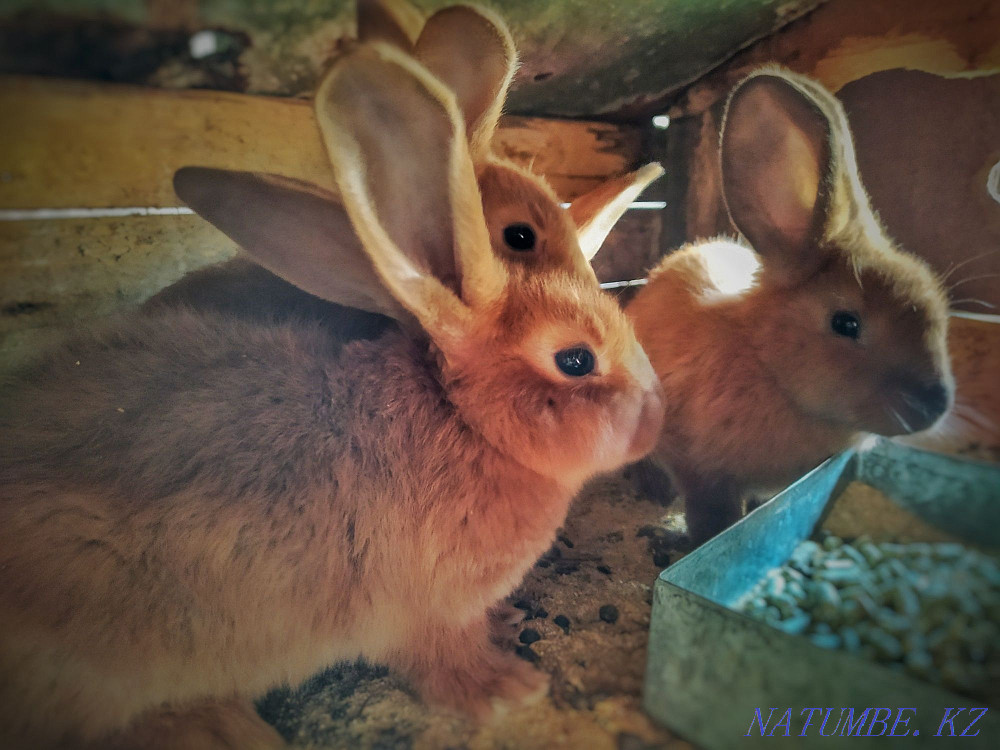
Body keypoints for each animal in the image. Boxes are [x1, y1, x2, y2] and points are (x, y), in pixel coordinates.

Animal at [0, 38, 664, 750]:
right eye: (575, 360)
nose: (656, 416)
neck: (464, 422)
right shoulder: (425, 614)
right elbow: (445, 659)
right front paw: (507, 691)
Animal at [626, 67, 954, 544]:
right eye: (846, 323)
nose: (934, 407)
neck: (767, 363)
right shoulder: (700, 470)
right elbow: (712, 517)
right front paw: (691, 539)